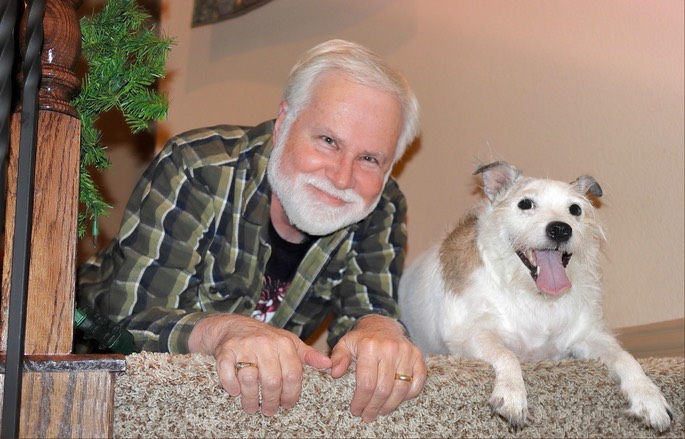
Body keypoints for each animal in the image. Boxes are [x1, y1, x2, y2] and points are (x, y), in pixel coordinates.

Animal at [398, 162, 672, 434]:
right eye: (526, 204)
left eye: (575, 209)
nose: (560, 229)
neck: (535, 296)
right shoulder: (469, 337)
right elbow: (507, 355)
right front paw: (512, 394)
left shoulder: (586, 338)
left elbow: (625, 357)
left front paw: (649, 397)